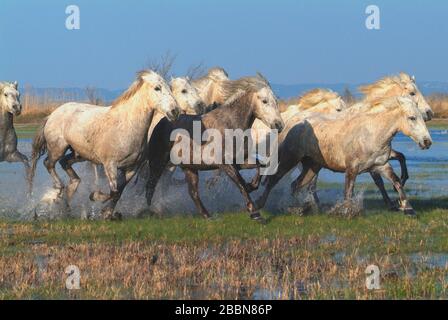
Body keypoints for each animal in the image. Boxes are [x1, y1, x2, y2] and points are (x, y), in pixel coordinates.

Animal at [29, 70, 181, 220]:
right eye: (157, 88)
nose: (175, 111)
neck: (126, 126)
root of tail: (52, 114)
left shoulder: (131, 168)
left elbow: (118, 193)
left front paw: (108, 214)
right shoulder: (110, 165)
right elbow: (113, 191)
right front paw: (95, 198)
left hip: (79, 154)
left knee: (64, 163)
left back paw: (69, 194)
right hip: (58, 148)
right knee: (48, 163)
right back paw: (59, 189)